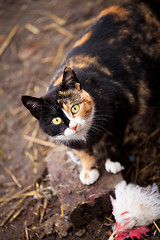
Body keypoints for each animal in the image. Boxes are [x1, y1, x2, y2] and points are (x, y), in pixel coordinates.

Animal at [21, 0, 160, 185]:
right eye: (56, 120)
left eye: (74, 108)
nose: (73, 125)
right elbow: (82, 152)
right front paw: (88, 170)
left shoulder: (119, 109)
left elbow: (112, 140)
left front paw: (114, 161)